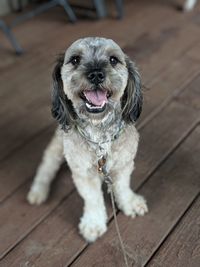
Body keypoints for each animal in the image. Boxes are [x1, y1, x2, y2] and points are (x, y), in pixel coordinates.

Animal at [27, 37, 148, 243]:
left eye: (113, 60)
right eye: (75, 59)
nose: (96, 74)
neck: (100, 134)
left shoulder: (124, 164)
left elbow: (123, 187)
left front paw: (130, 203)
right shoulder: (83, 173)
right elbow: (92, 199)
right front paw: (93, 224)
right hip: (57, 148)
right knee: (46, 166)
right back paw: (38, 191)